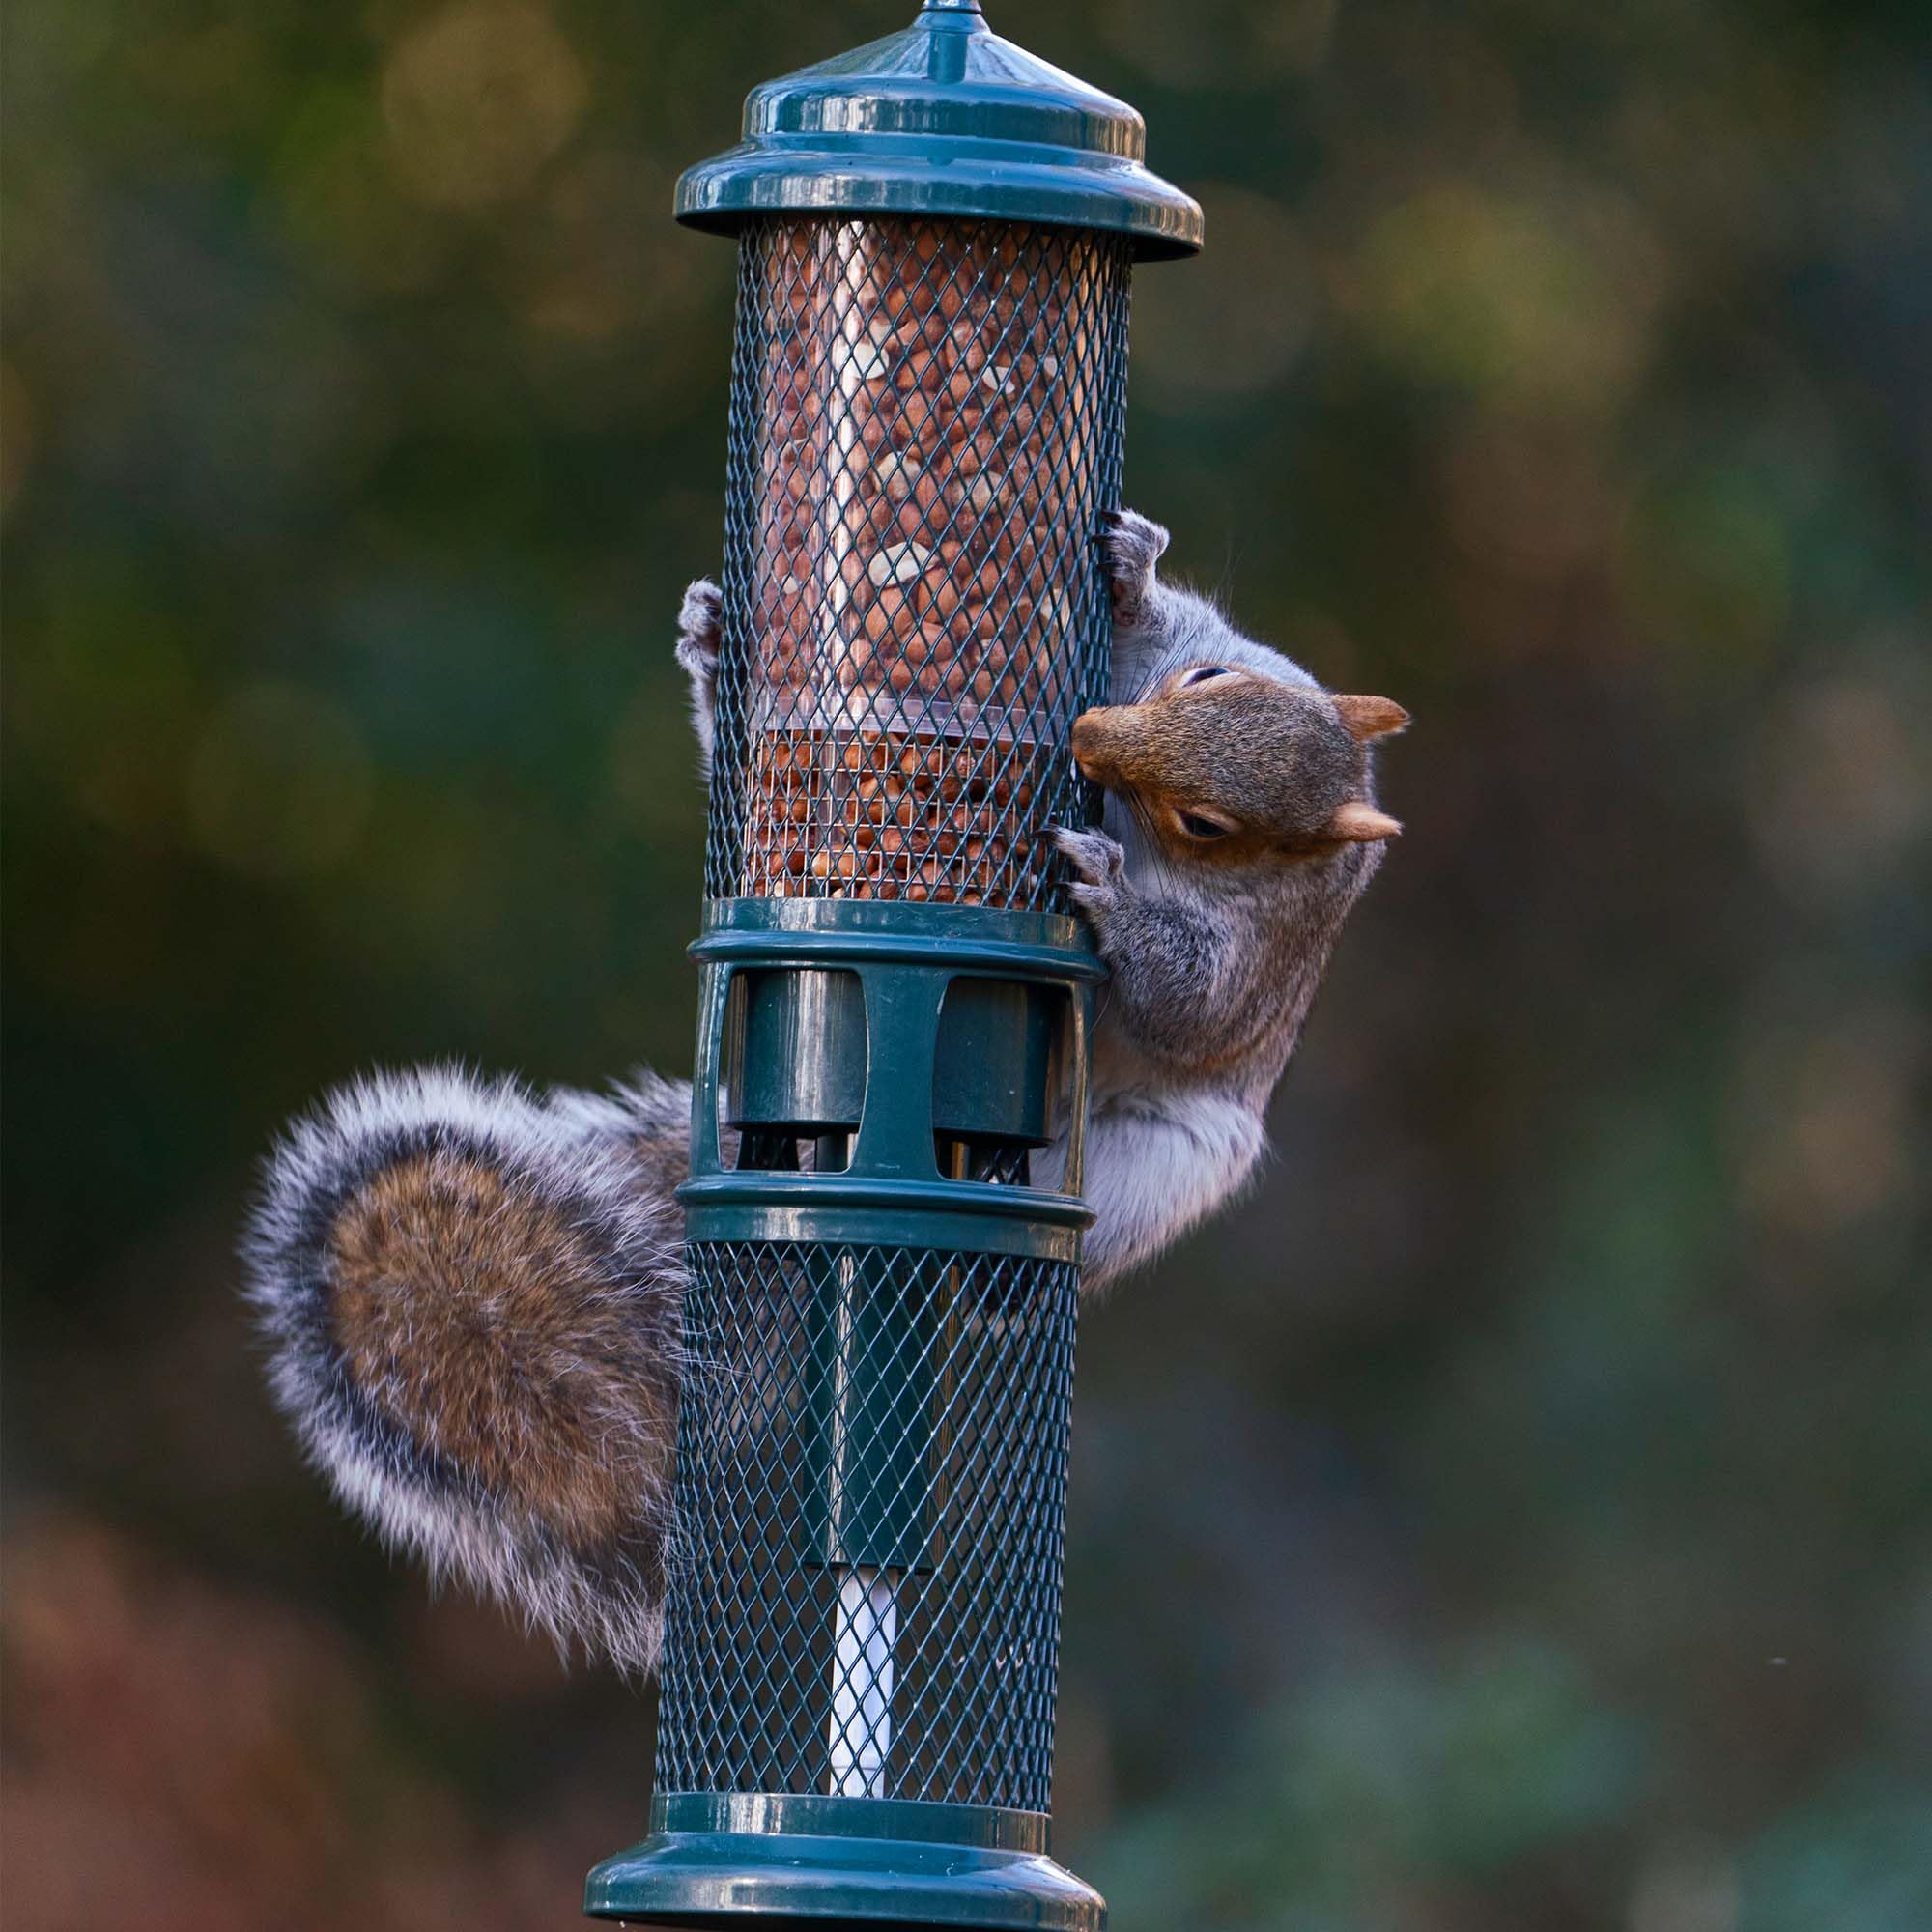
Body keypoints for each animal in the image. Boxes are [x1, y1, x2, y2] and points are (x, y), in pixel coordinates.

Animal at [243, 511, 1406, 1673]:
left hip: (1158, 1159)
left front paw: (1108, 889)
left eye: (1208, 824)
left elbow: (1187, 1006)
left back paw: (1001, 1269)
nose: (1085, 739)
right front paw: (1124, 571)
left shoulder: (1254, 956)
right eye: (1205, 677)